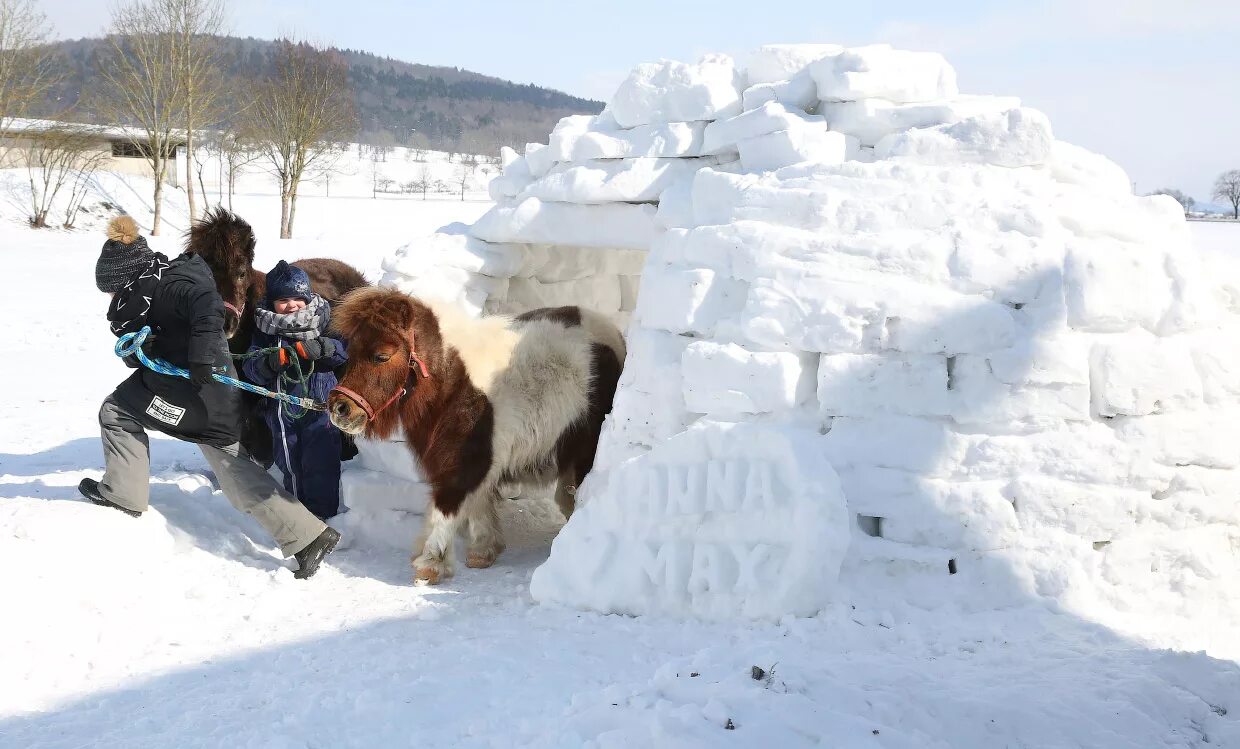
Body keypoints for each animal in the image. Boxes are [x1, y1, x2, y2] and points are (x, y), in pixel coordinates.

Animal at [327, 286, 624, 585]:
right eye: (350, 352)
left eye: (381, 356)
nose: (339, 408)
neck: (453, 381)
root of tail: (614, 335)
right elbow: (477, 502)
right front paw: (483, 551)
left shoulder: (466, 459)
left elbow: (447, 505)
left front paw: (430, 564)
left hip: (586, 447)